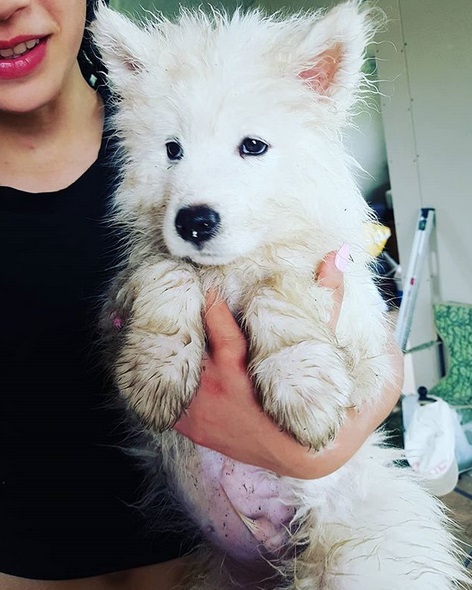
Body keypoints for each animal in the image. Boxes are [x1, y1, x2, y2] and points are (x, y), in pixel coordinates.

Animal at [92, 2, 468, 588]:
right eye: (172, 150)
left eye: (253, 146)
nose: (193, 221)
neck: (229, 268)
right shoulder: (117, 300)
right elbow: (166, 272)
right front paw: (158, 370)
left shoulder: (358, 329)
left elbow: (280, 286)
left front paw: (301, 388)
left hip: (360, 551)